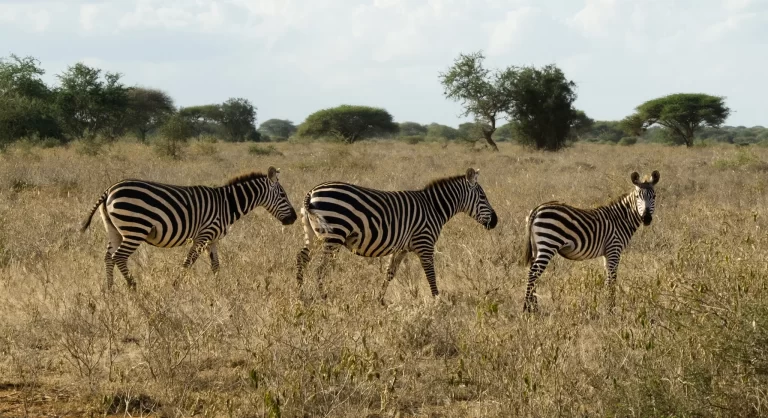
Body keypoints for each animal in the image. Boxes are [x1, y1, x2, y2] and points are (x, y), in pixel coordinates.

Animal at [80, 166, 297, 289]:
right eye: (283, 195)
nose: (294, 218)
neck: (226, 204)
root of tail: (109, 189)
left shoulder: (212, 239)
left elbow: (215, 265)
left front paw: (220, 290)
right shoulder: (204, 235)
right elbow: (188, 261)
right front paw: (175, 287)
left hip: (114, 230)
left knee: (108, 257)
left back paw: (110, 291)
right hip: (135, 228)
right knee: (119, 256)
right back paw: (133, 287)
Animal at [295, 168, 498, 303]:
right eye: (483, 197)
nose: (495, 221)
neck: (434, 208)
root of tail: (311, 192)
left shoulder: (402, 248)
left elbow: (390, 273)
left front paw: (379, 300)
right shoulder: (425, 243)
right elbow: (430, 273)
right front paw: (437, 300)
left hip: (313, 234)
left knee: (302, 258)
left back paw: (301, 294)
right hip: (334, 234)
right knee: (320, 268)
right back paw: (322, 296)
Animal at [521, 170, 660, 312]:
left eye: (654, 196)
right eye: (637, 196)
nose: (646, 218)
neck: (621, 219)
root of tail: (538, 208)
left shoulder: (607, 252)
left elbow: (608, 278)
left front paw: (607, 305)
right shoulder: (614, 248)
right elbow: (612, 278)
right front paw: (611, 308)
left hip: (537, 247)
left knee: (532, 272)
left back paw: (534, 307)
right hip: (548, 243)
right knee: (533, 273)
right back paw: (526, 308)